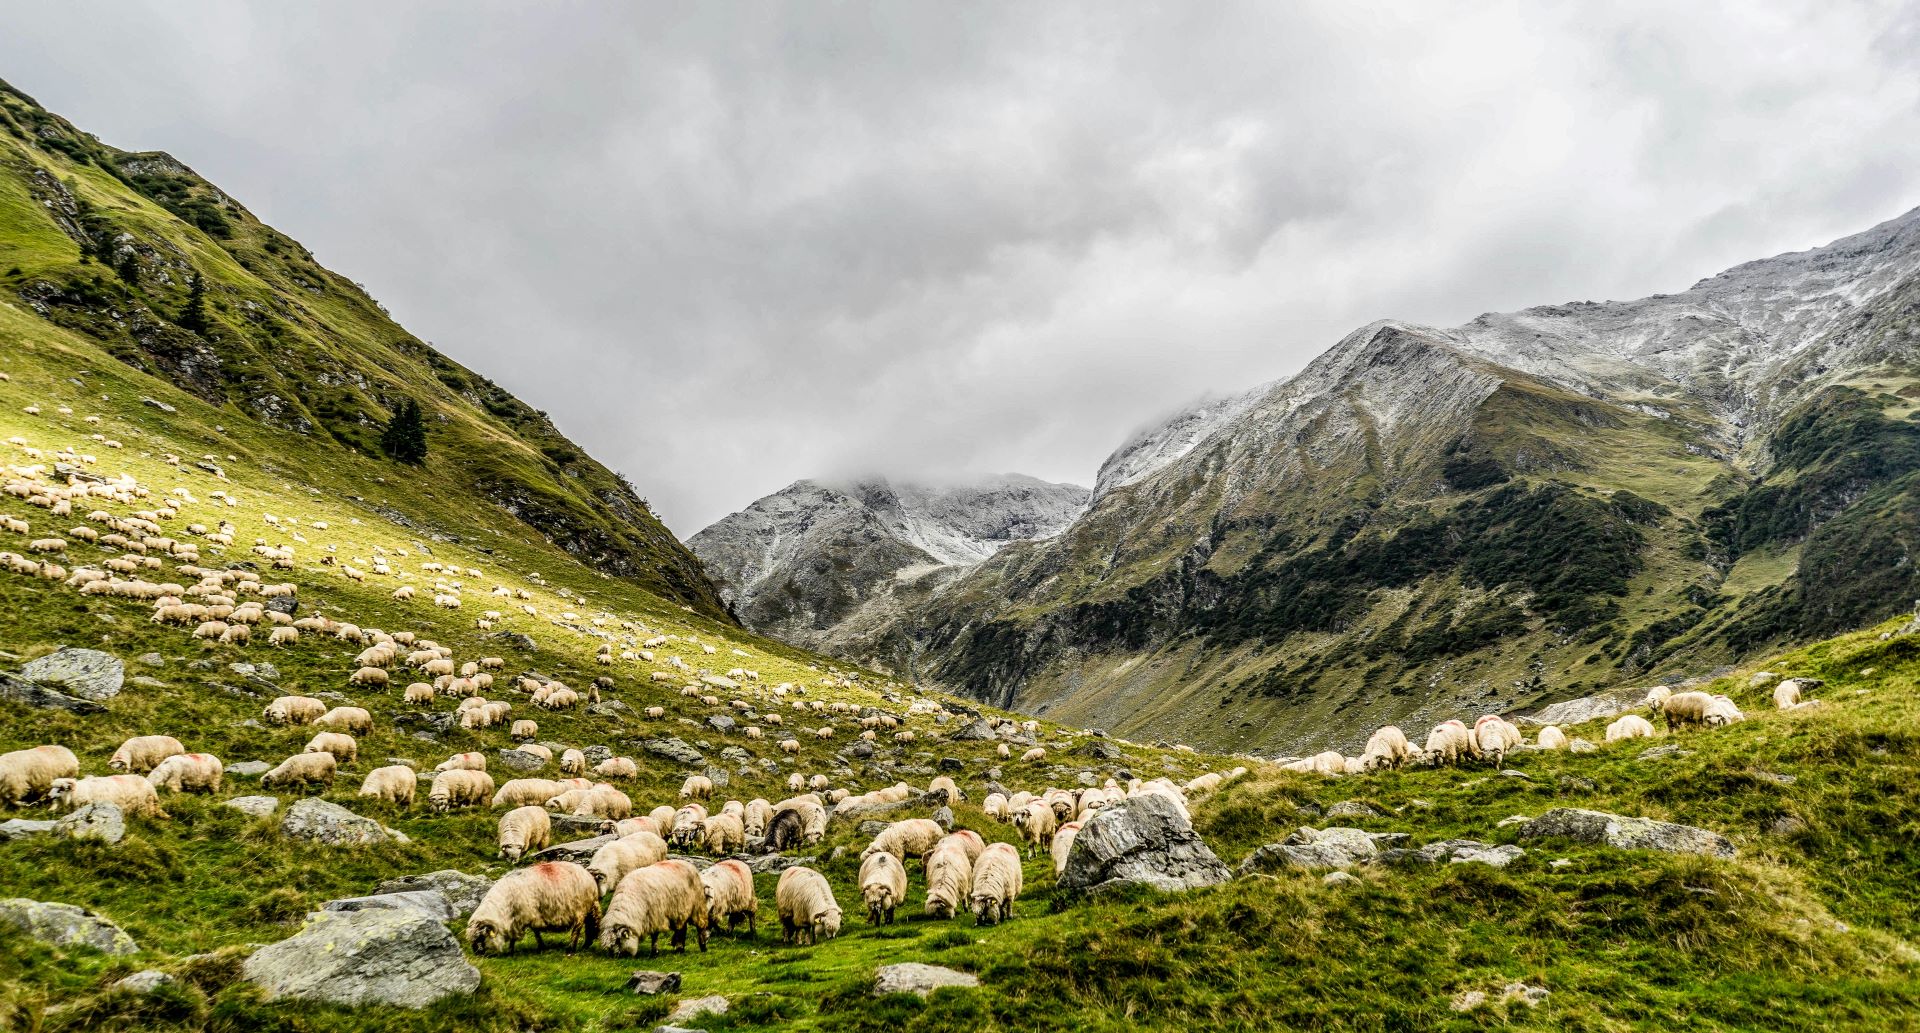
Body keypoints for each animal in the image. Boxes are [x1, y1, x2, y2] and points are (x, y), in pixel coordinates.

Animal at [464, 856, 599, 952]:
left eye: (481, 937)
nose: (477, 953)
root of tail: (588, 876)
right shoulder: (517, 920)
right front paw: (512, 950)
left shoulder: (527, 915)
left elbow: (534, 932)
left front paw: (539, 946)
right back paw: (585, 944)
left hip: (580, 908)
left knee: (577, 927)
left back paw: (571, 949)